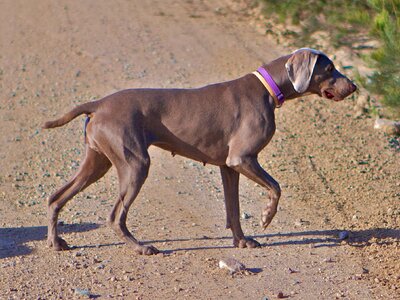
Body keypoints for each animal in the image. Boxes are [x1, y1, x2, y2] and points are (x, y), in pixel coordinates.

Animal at [43, 48, 356, 254]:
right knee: (114, 216)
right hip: (135, 163)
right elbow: (276, 187)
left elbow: (233, 209)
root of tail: (98, 104)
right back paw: (141, 247)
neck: (268, 88)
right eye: (330, 69)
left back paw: (56, 242)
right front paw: (267, 217)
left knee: (55, 197)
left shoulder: (229, 166)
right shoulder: (242, 158)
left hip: (98, 161)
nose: (353, 86)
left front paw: (242, 241)